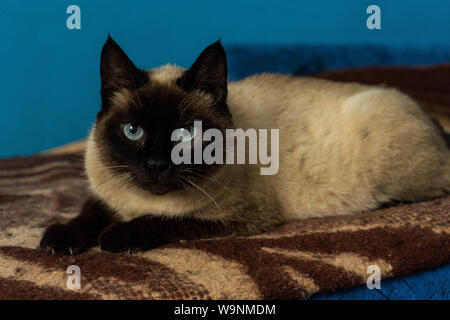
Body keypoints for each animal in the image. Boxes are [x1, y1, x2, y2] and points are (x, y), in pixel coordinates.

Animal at [39, 35, 450, 255]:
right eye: (133, 131)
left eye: (186, 134)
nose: (156, 165)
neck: (138, 201)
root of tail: (429, 116)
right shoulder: (106, 194)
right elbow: (88, 212)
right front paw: (60, 239)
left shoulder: (234, 218)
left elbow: (162, 219)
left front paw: (115, 237)